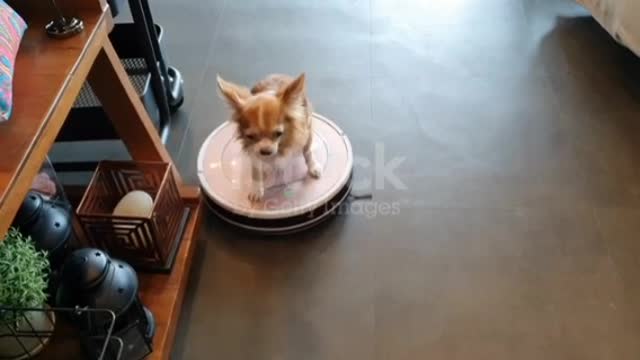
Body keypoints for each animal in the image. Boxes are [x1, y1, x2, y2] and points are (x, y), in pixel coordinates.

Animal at [218, 73, 322, 202]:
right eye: (250, 136)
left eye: (278, 133)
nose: (265, 151)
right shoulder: (254, 149)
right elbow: (256, 169)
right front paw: (256, 189)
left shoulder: (305, 133)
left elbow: (308, 152)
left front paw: (313, 167)